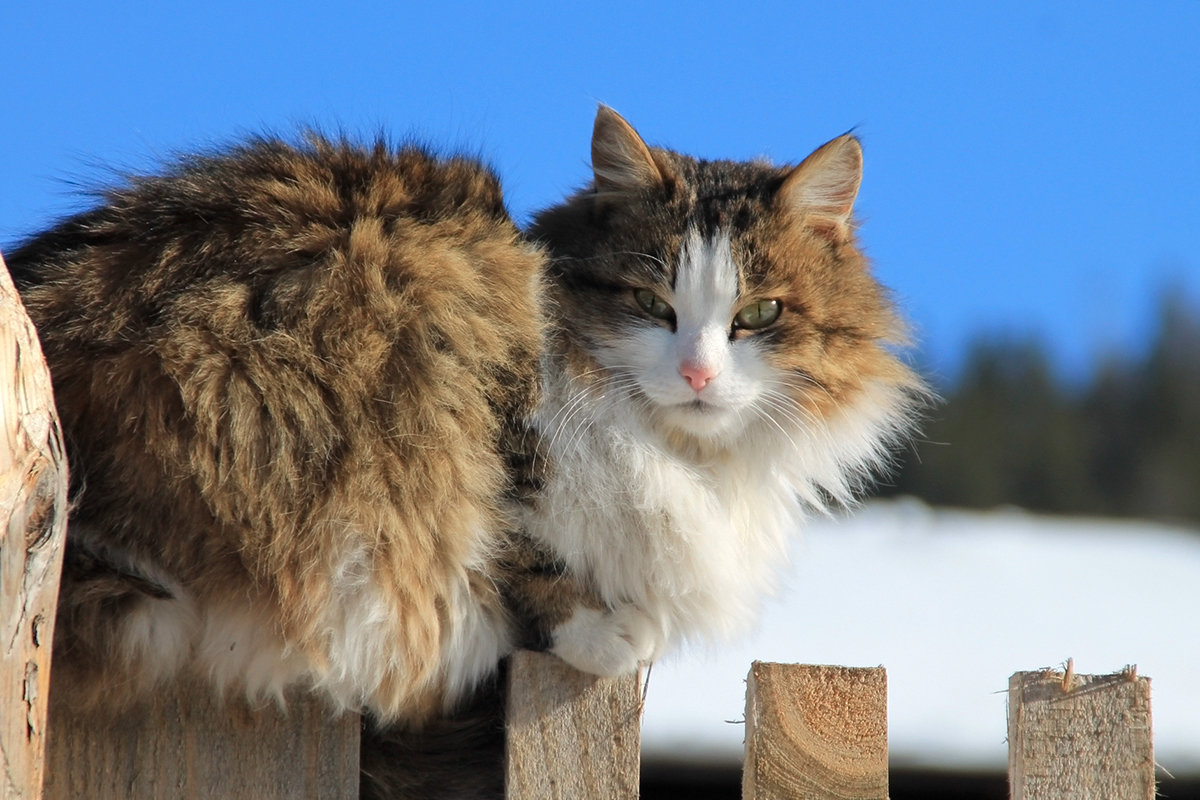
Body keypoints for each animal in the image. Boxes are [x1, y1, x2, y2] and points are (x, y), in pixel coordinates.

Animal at [9, 107, 921, 800]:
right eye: (648, 303)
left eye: (759, 314)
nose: (697, 372)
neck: (677, 454)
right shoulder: (498, 412)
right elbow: (516, 543)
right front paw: (604, 627)